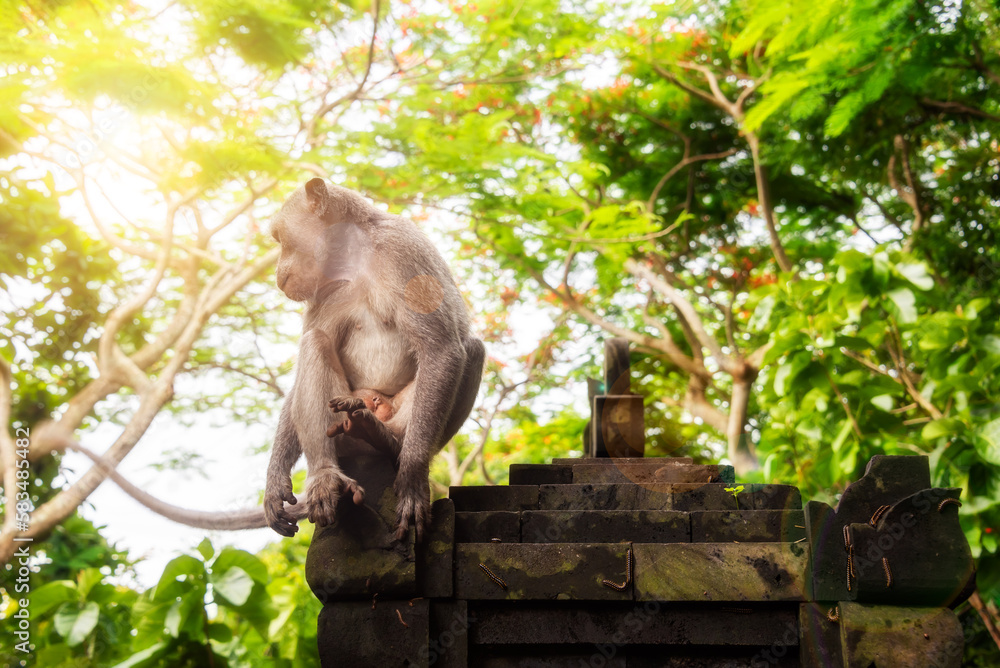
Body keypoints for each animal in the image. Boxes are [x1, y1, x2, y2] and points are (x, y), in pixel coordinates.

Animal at [263, 178, 485, 541]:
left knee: (472, 349)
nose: (278, 273)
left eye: (281, 239)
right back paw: (325, 474)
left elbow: (440, 347)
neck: (354, 256)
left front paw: (412, 479)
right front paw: (275, 481)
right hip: (341, 422)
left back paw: (386, 440)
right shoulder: (321, 292)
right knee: (315, 341)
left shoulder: (401, 251)